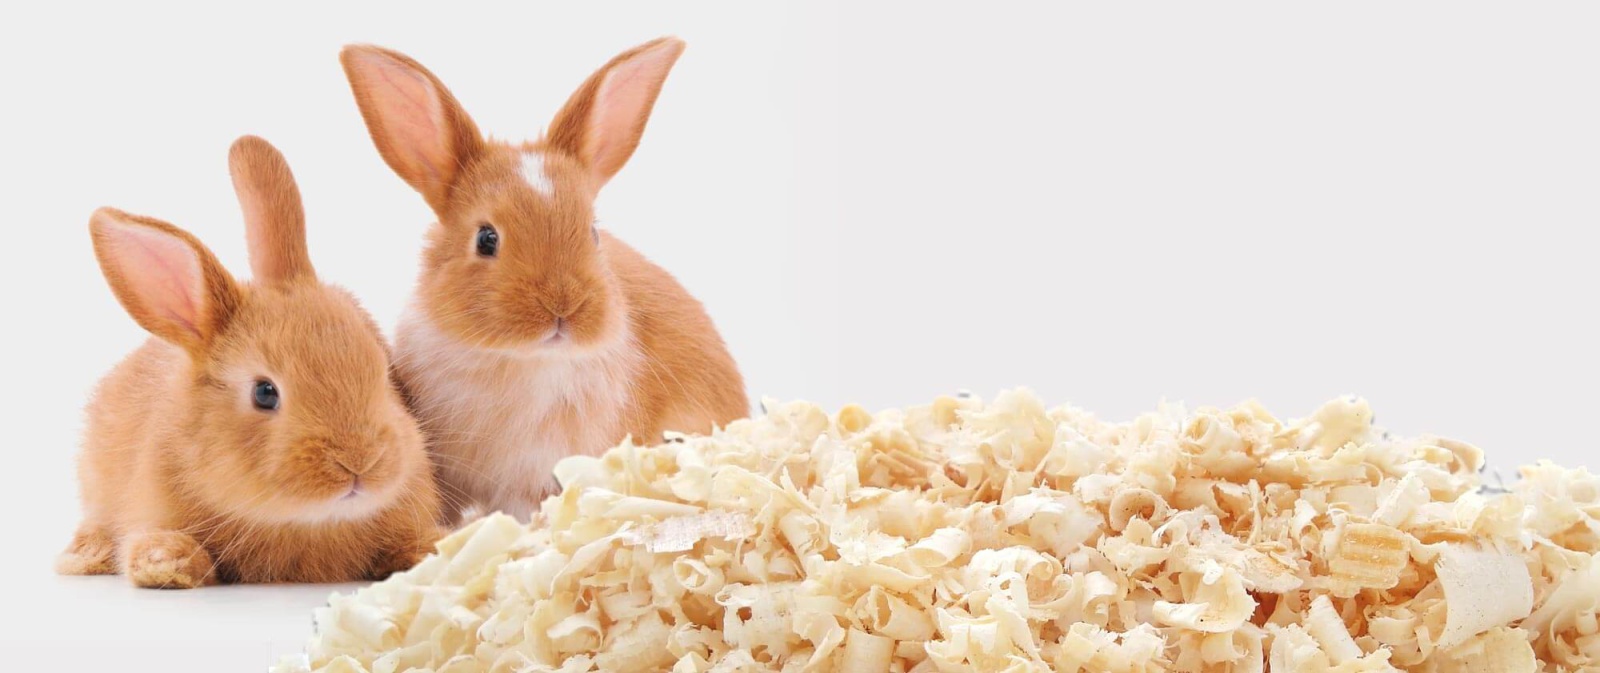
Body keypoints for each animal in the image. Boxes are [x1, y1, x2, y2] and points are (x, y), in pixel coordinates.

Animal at [56, 136, 444, 588]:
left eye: (383, 372)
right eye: (264, 393)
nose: (359, 462)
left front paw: (427, 550)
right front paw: (166, 564)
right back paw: (85, 556)